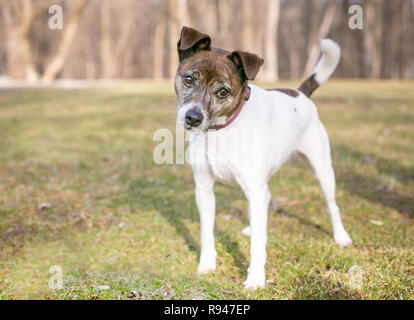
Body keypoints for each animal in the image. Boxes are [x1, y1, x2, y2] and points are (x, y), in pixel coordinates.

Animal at [175, 26, 352, 288]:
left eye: (223, 92)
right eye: (188, 79)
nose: (193, 118)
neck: (222, 129)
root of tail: (300, 94)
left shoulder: (253, 189)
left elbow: (257, 245)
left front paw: (256, 279)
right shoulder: (204, 189)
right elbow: (207, 233)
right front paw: (207, 265)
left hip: (321, 170)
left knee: (332, 206)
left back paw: (340, 236)